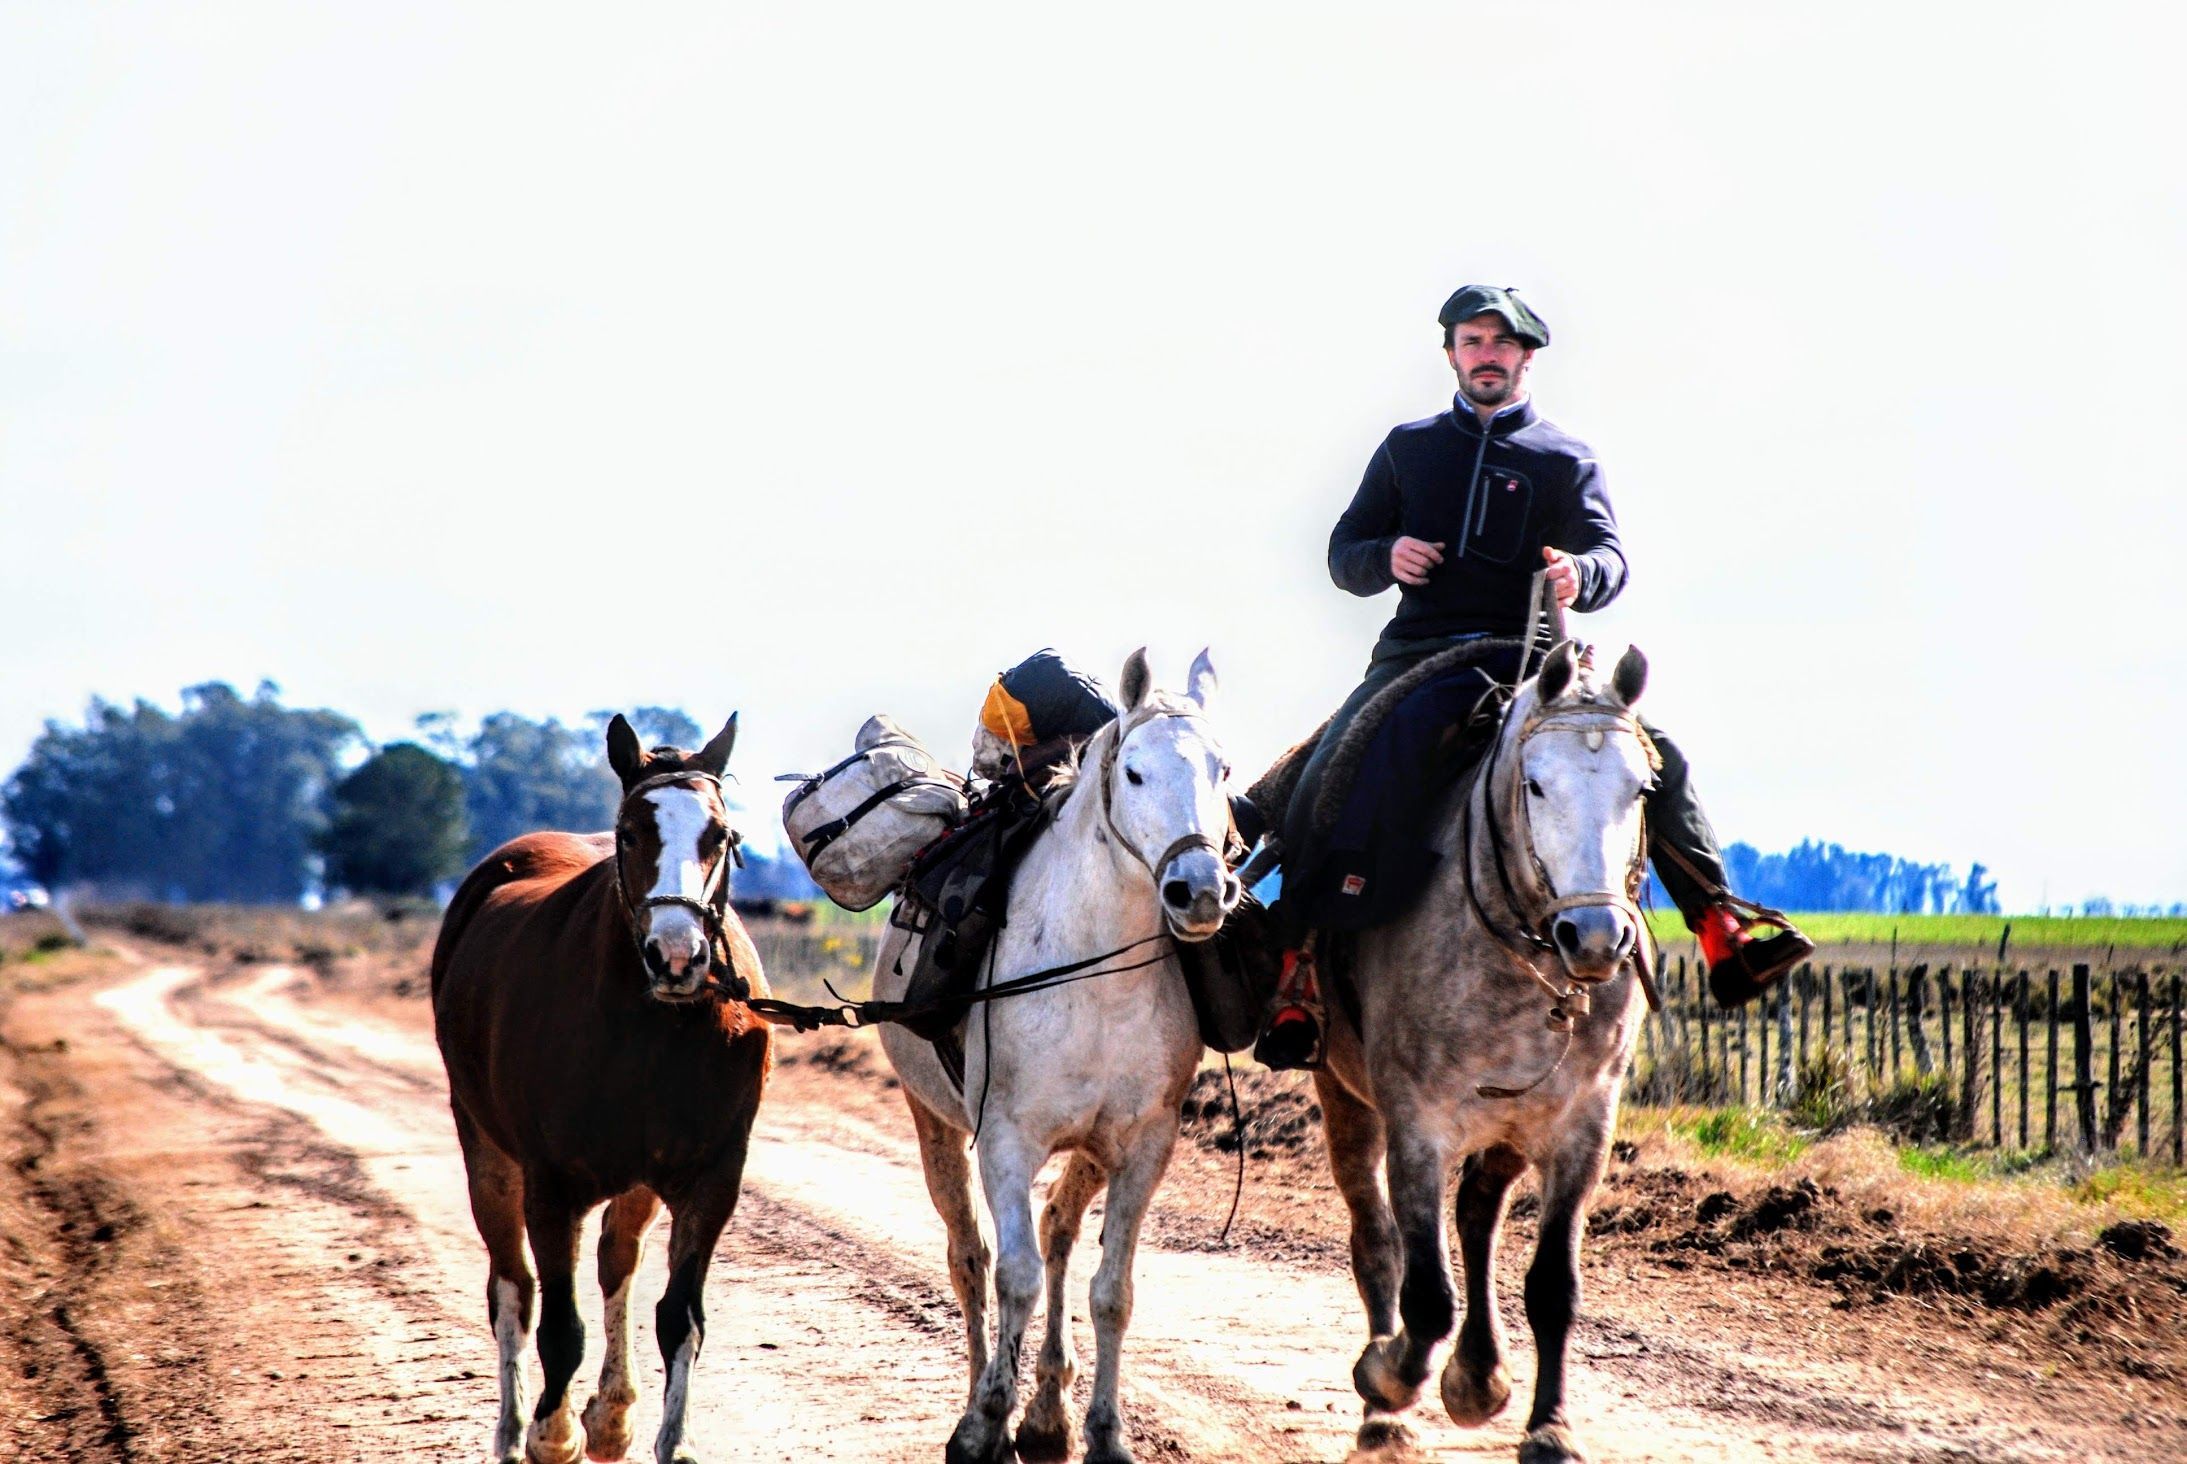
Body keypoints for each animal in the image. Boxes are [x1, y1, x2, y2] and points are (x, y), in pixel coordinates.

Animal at [430, 713, 765, 1461]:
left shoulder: (710, 1179)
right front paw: (550, 1436)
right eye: (631, 832)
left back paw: (611, 1416)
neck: (648, 1027)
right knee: (512, 1291)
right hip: (485, 1150)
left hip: (637, 1181)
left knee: (617, 1264)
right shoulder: (551, 1186)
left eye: (720, 835)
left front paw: (670, 1438)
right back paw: (512, 1428)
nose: (677, 956)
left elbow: (680, 1319)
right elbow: (558, 1326)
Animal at [874, 652, 1250, 1461]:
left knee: (1056, 1234)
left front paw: (1104, 1432)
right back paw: (983, 1403)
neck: (1096, 975)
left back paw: (1048, 1412)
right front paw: (985, 1421)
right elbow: (1012, 1278)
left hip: (1091, 1150)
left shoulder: (1144, 1146)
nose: (1200, 890)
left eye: (1223, 768)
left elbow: (1112, 1292)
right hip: (932, 1122)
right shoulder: (1005, 1143)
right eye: (1134, 772)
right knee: (971, 1259)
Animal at [1312, 638, 1653, 1461]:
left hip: (1508, 1124)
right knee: (1376, 1240)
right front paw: (1387, 1377)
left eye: (1640, 788)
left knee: (1474, 1212)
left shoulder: (1581, 1129)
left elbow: (1554, 1288)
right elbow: (1426, 1295)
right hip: (1345, 1097)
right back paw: (1385, 1411)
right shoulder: (1417, 1126)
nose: (1596, 938)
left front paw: (1549, 1427)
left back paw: (1477, 1375)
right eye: (1535, 783)